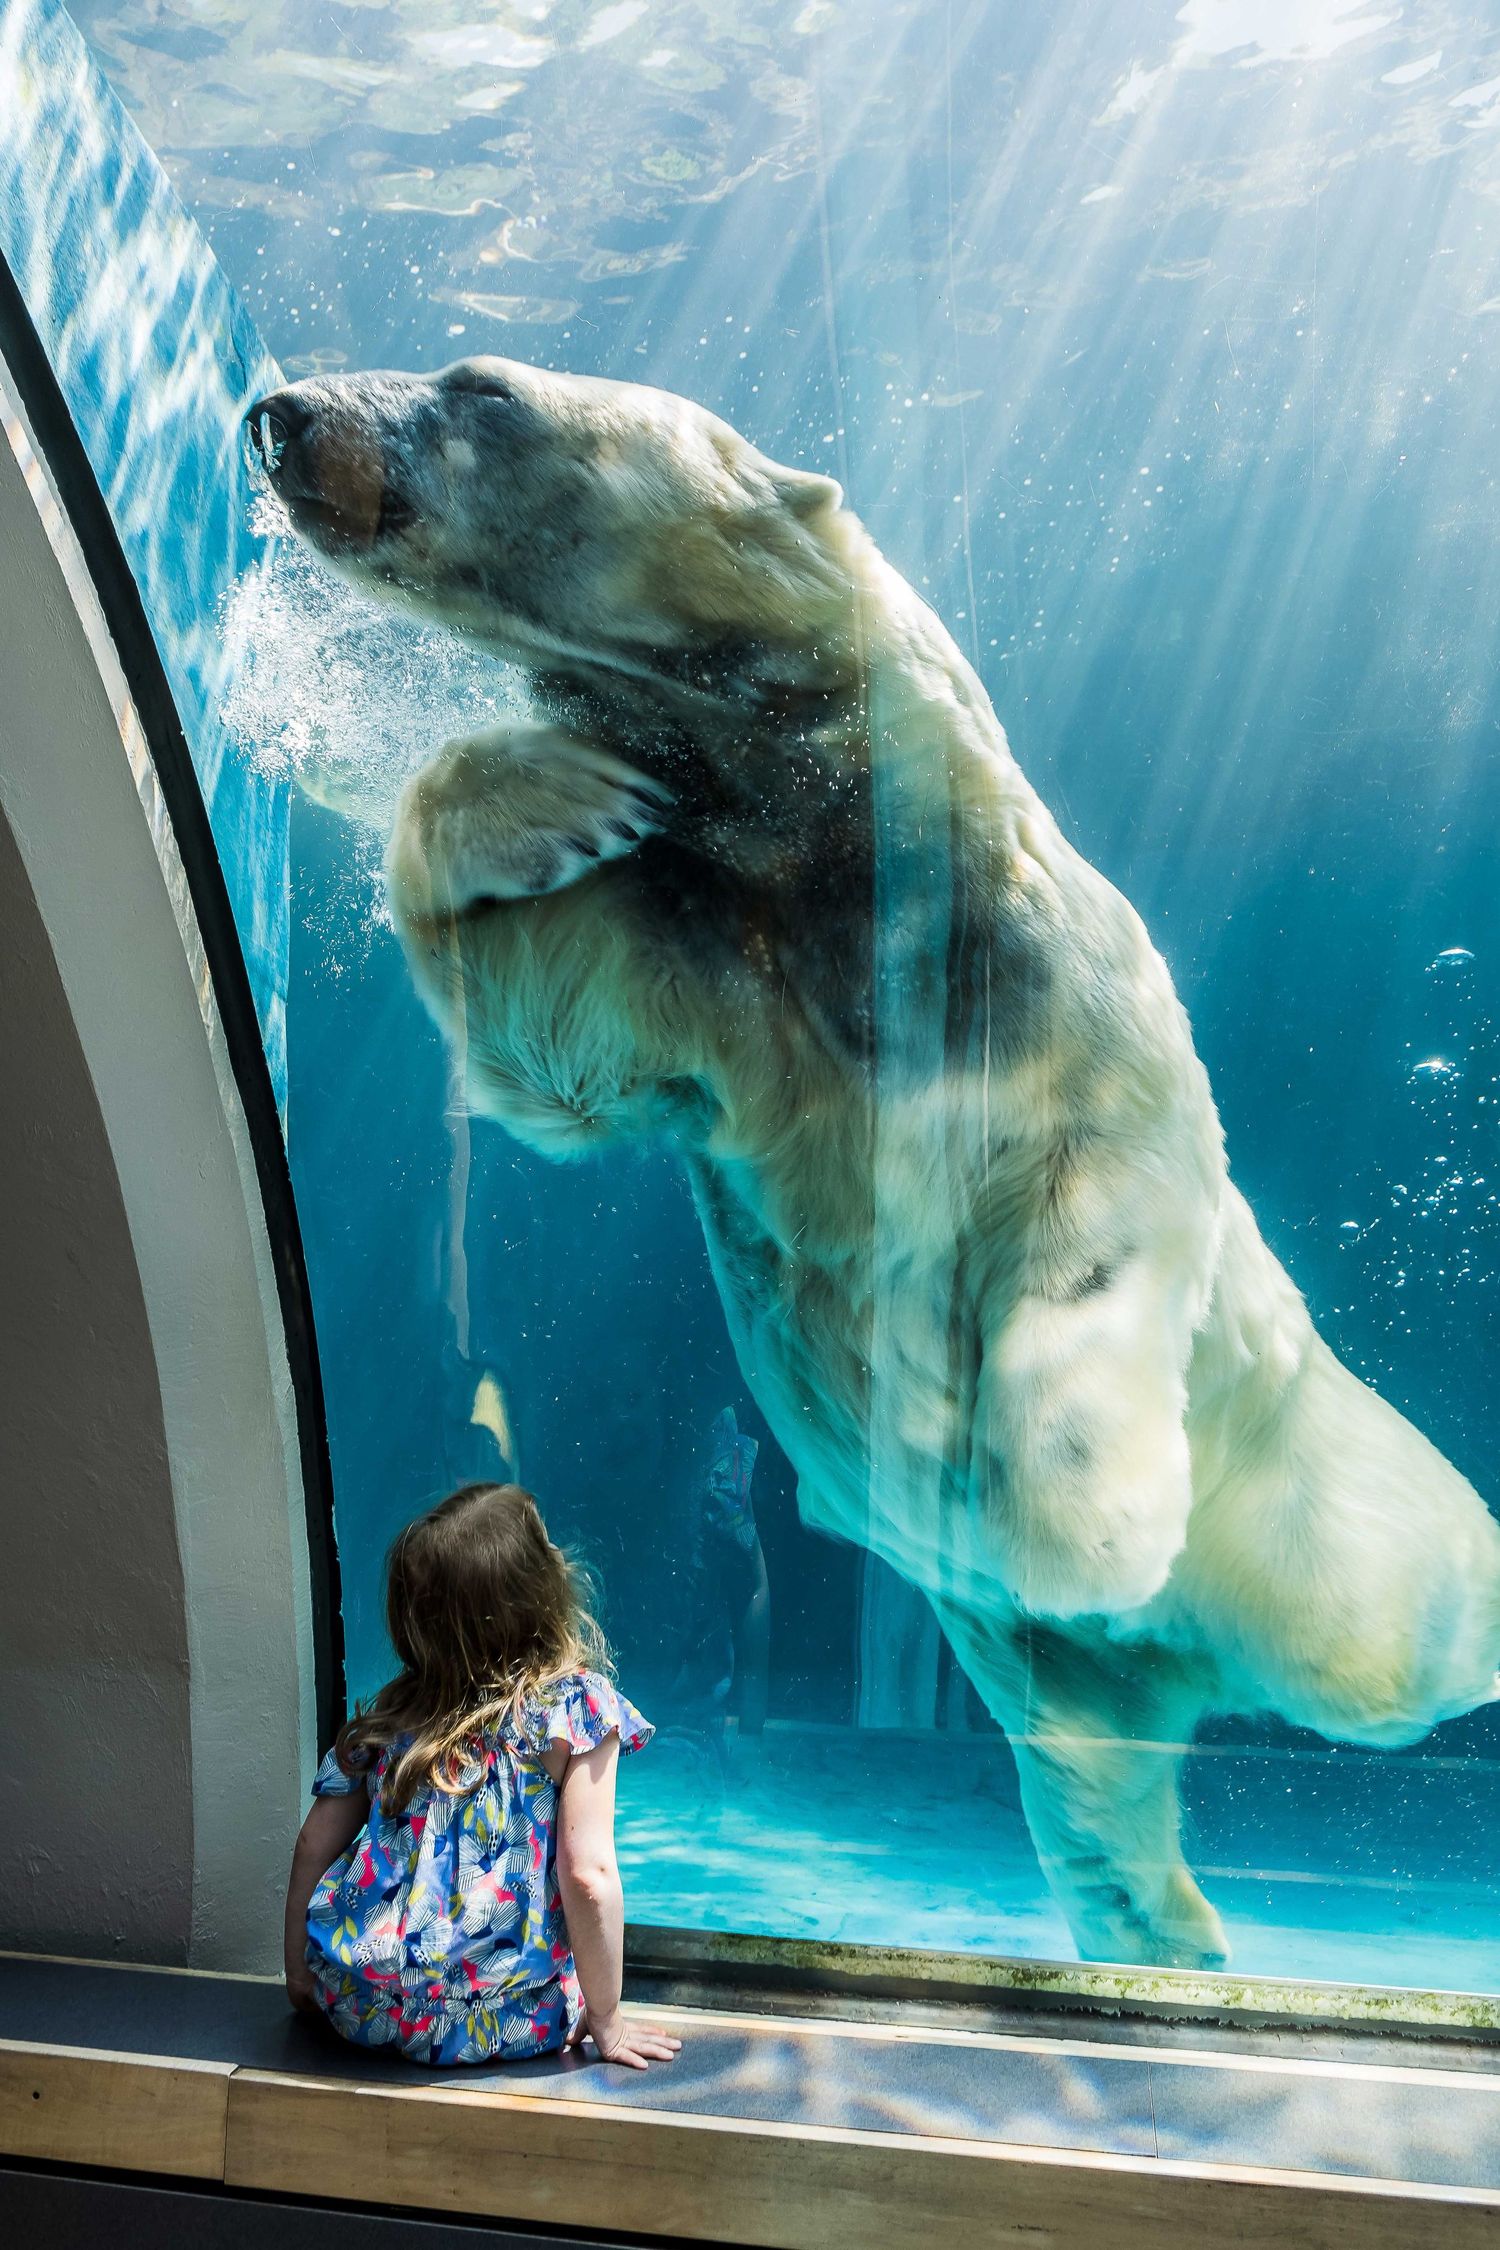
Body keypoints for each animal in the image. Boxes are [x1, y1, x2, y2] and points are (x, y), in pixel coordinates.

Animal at [246, 357, 1500, 1970]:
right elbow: (547, 1040)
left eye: (482, 385)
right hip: (1039, 1676)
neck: (848, 867)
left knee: (1388, 1629)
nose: (282, 414)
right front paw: (560, 793)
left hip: (1313, 1509)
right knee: (1096, 1799)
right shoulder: (712, 956)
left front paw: (1089, 1520)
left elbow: (1107, 1199)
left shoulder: (1056, 993)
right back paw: (1173, 1934)